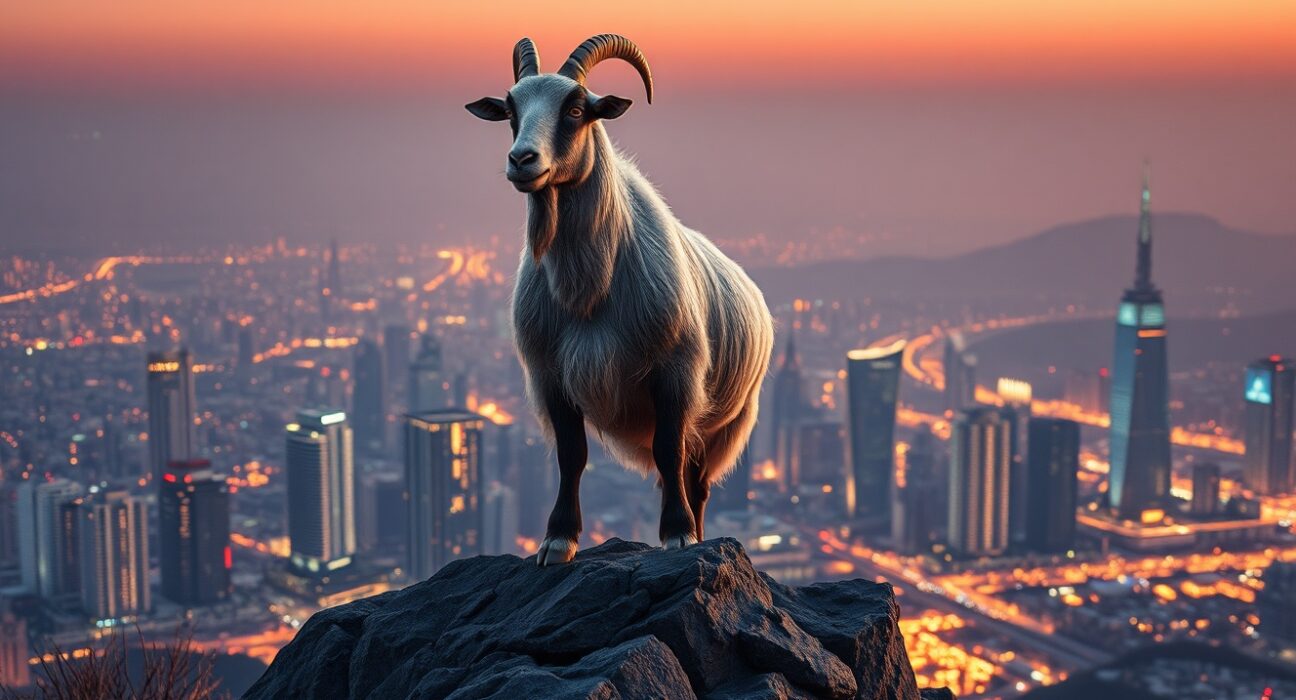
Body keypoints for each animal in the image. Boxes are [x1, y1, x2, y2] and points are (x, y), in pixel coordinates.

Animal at [467, 35, 773, 565]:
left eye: (576, 109)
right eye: (510, 110)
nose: (522, 160)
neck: (589, 290)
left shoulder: (676, 372)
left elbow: (669, 451)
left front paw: (678, 535)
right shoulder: (551, 376)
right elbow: (572, 455)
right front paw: (558, 540)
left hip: (730, 422)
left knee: (697, 478)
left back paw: (699, 531)